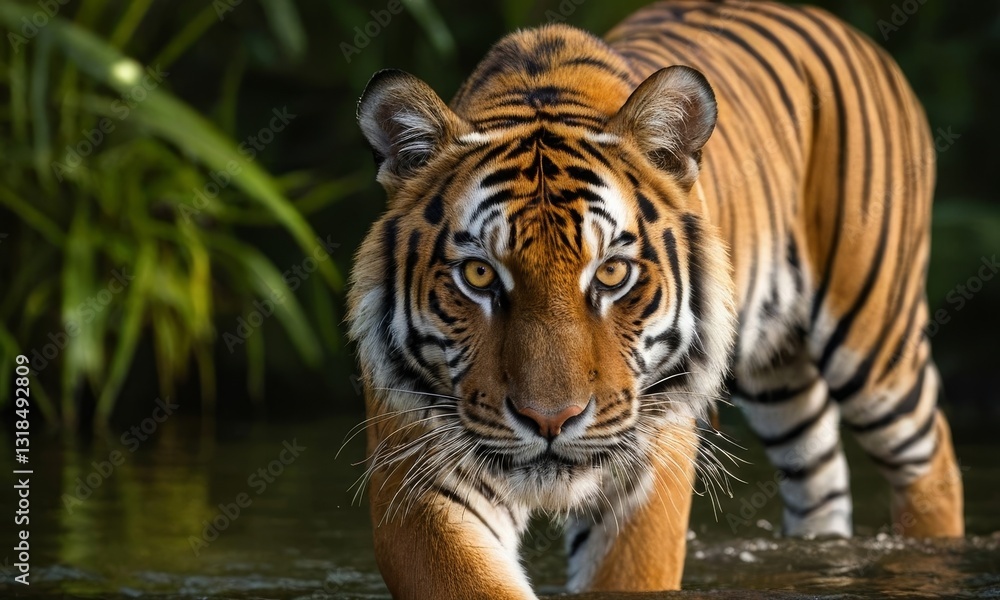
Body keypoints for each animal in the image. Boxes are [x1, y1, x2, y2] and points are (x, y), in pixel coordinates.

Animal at [347, 0, 964, 597]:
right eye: (478, 274)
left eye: (612, 272)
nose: (550, 421)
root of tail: (838, 23)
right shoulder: (417, 469)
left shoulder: (651, 459)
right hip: (781, 375)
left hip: (873, 340)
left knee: (929, 458)